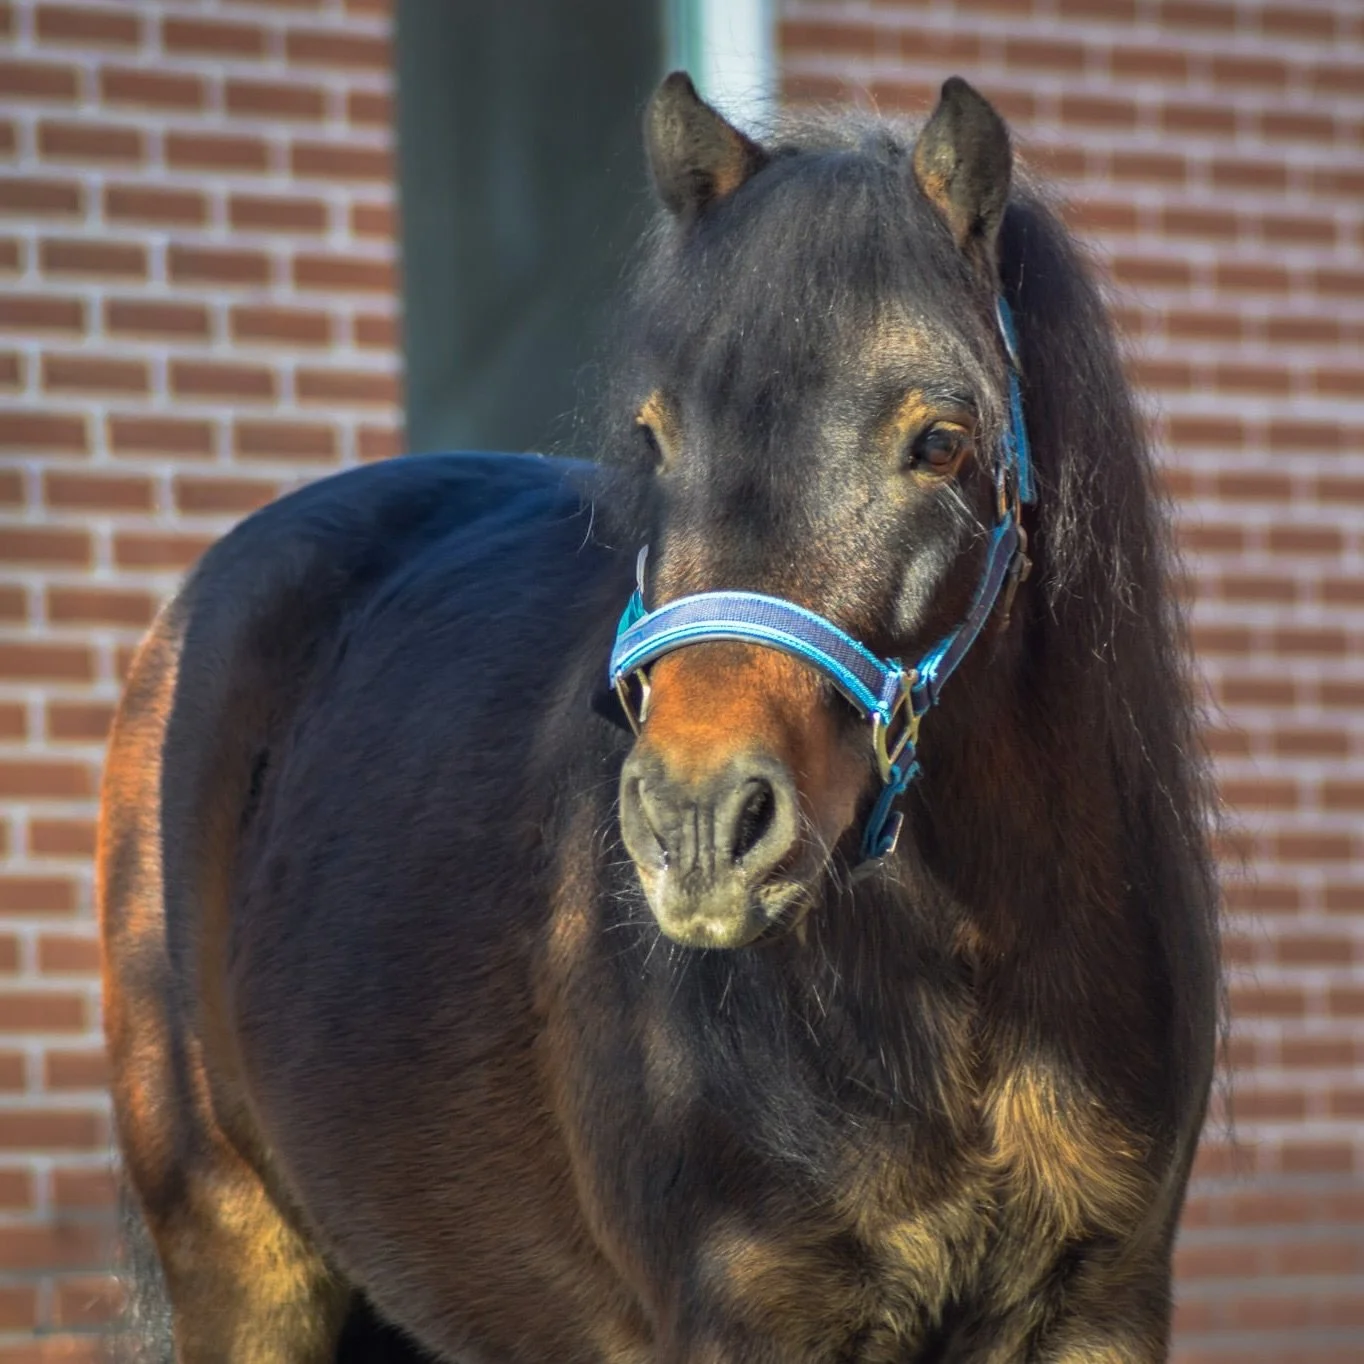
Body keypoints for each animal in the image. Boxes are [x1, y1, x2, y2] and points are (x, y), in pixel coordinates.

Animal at [100, 73, 1220, 1363]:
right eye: (657, 433)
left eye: (940, 439)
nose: (696, 821)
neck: (968, 983)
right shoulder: (738, 1308)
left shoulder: (1104, 1303)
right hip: (240, 1257)